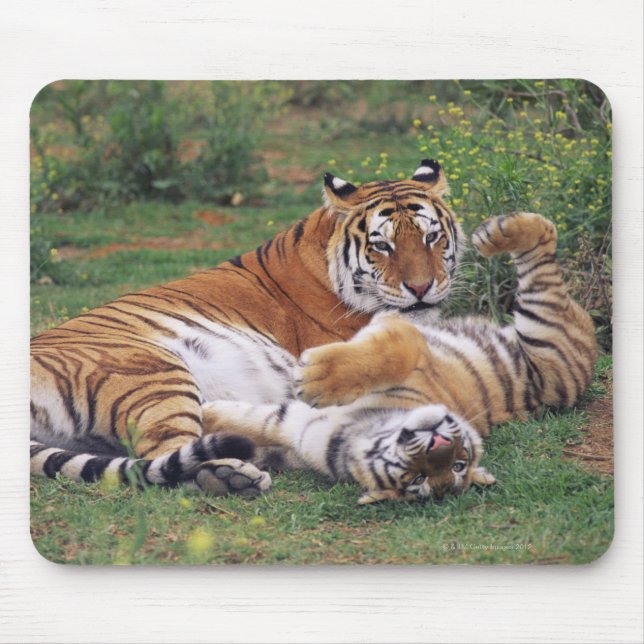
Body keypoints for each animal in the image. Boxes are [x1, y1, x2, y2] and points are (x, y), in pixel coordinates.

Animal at [30, 159, 464, 496]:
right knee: (166, 457)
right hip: (152, 370)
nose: (421, 288)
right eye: (382, 246)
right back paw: (231, 474)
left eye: (431, 237)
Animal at [200, 212, 598, 503]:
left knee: (545, 250)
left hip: (544, 325)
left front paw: (314, 377)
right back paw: (495, 231)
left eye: (456, 466)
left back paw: (502, 233)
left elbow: (397, 349)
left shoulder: (401, 329)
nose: (439, 443)